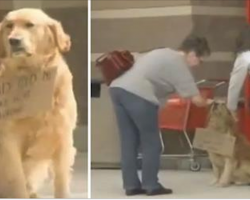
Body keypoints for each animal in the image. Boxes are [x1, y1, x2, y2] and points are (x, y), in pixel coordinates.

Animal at [0, 8, 77, 198]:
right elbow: (17, 180)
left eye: (30, 25)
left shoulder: (62, 135)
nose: (13, 40)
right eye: (9, 26)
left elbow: (61, 180)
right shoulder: (8, 139)